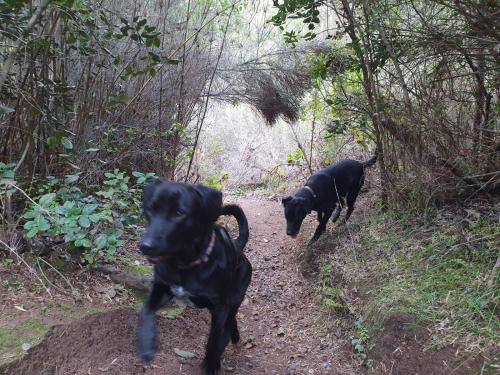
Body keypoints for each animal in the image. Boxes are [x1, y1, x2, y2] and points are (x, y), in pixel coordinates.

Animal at [137, 181, 252, 374]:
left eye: (179, 213)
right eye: (150, 209)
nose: (145, 246)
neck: (184, 265)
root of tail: (238, 247)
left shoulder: (219, 307)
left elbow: (213, 342)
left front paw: (210, 366)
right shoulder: (162, 289)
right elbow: (146, 310)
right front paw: (147, 344)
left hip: (236, 296)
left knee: (230, 320)